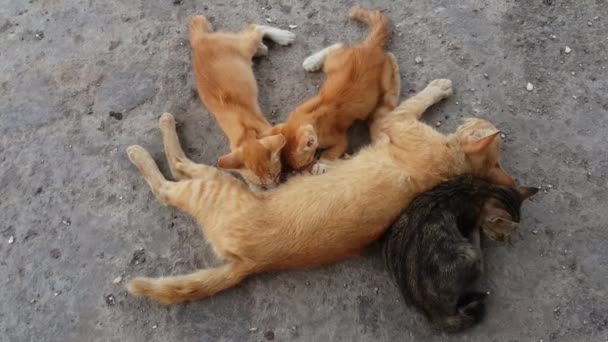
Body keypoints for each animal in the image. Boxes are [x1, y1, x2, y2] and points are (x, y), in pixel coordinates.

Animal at [126, 78, 516, 304]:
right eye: (482, 122)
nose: (477, 119)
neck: (452, 164)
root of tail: (250, 264)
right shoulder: (386, 125)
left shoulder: (391, 120)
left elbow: (414, 101)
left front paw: (438, 87)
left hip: (215, 185)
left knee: (174, 176)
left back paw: (146, 144)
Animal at [189, 15, 296, 190]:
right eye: (262, 185)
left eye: (276, 175)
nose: (276, 189)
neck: (246, 135)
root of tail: (198, 40)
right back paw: (263, 48)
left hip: (245, 46)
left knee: (255, 27)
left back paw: (282, 37)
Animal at [264, 7, 400, 174]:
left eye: (305, 163)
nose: (305, 170)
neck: (308, 119)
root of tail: (370, 47)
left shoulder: (340, 140)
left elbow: (331, 152)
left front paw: (321, 164)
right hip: (335, 64)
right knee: (338, 45)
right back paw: (312, 61)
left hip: (383, 78)